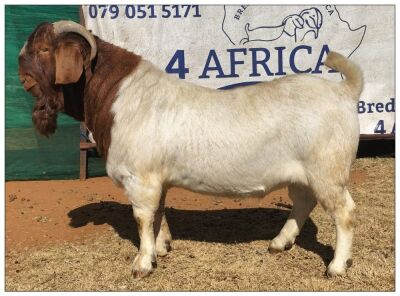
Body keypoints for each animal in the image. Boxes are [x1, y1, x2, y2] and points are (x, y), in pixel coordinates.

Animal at [18, 19, 362, 278]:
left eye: (44, 49)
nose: (21, 73)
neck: (117, 97)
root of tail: (344, 91)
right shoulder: (157, 178)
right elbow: (158, 213)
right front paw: (162, 248)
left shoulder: (141, 178)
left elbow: (142, 217)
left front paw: (142, 264)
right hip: (303, 174)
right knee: (303, 201)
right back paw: (279, 243)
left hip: (327, 170)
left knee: (344, 212)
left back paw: (336, 266)